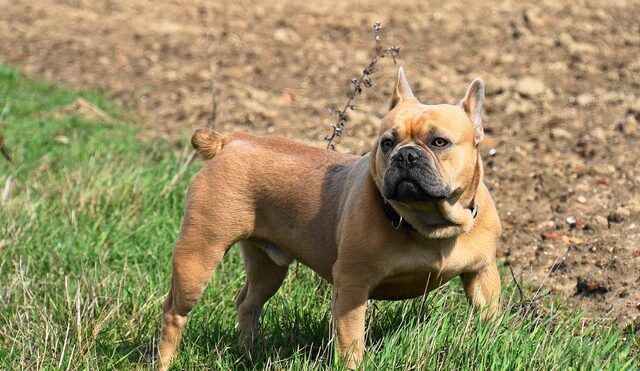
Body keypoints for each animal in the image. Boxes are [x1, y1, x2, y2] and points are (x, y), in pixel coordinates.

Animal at [158, 68, 502, 370]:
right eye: (386, 143)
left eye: (439, 142)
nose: (405, 155)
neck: (429, 222)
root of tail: (231, 141)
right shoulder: (352, 286)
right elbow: (351, 342)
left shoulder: (482, 274)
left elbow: (490, 318)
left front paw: (491, 344)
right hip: (198, 254)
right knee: (174, 311)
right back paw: (166, 361)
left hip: (268, 266)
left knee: (249, 302)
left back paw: (247, 354)